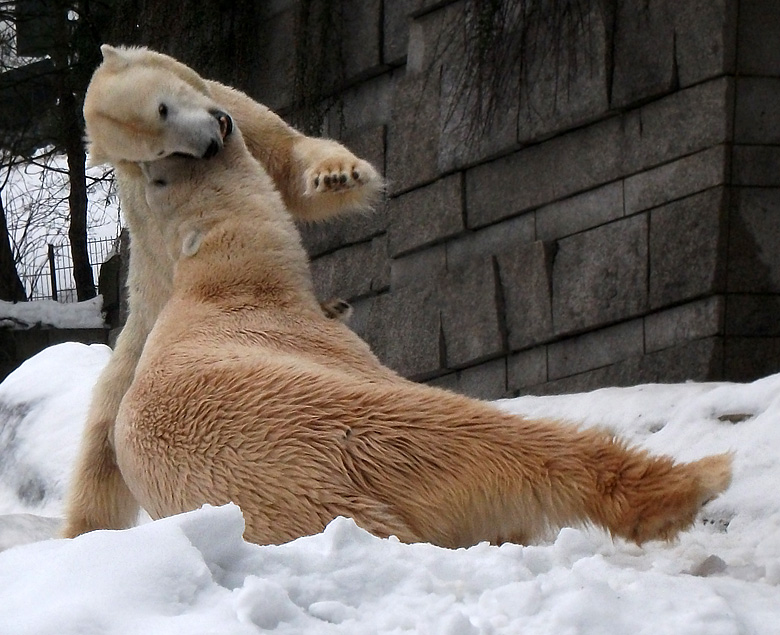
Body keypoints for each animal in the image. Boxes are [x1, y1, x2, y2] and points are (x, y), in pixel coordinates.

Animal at [64, 47, 384, 540]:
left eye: (163, 109)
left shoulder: (235, 107)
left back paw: (334, 305)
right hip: (133, 354)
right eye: (160, 149)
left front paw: (337, 175)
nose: (211, 144)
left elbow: (287, 156)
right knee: (99, 458)